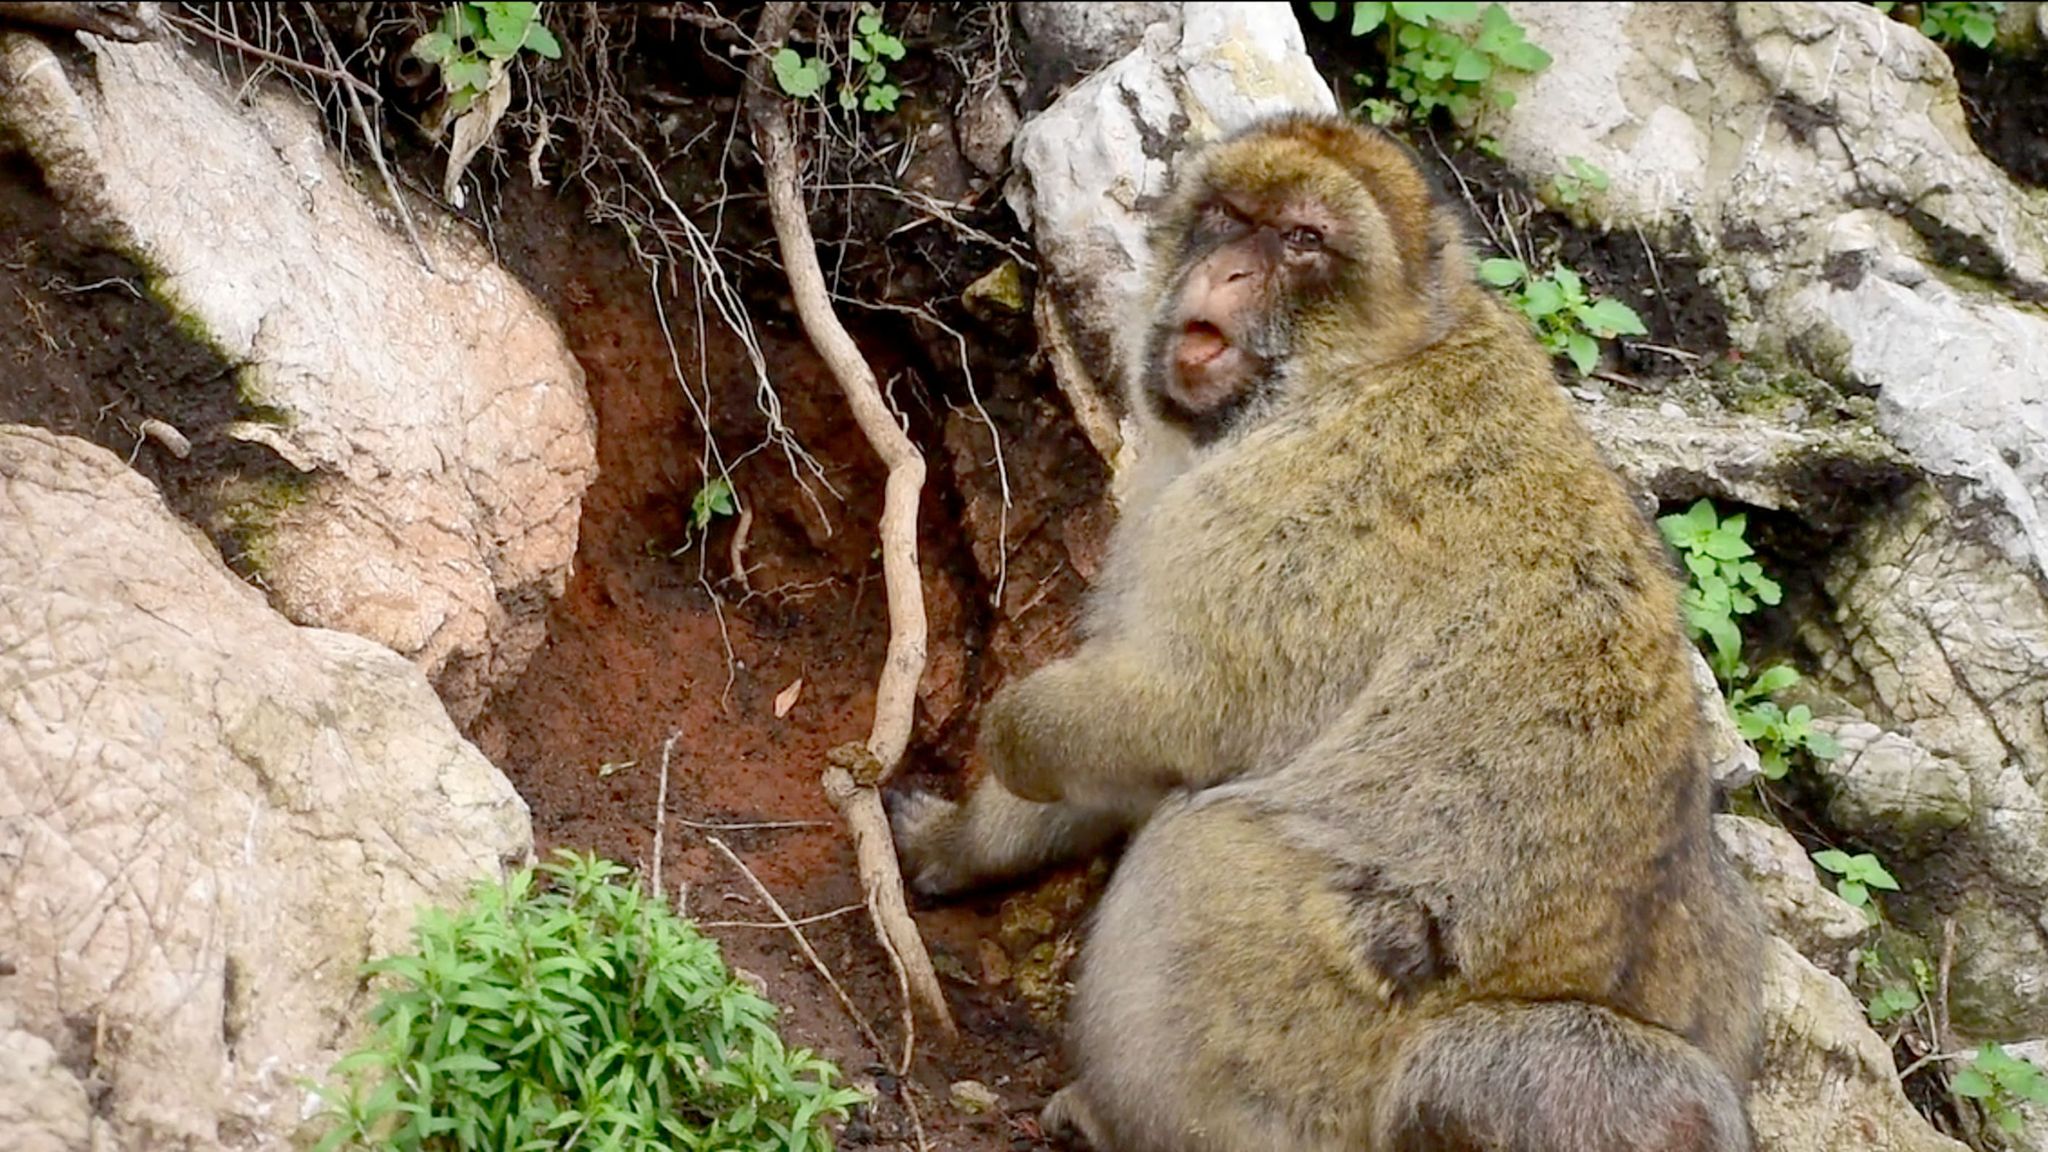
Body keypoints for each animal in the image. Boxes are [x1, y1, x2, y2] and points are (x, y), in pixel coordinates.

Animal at [890, 112, 1765, 1152]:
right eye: (1229, 216)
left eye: (1301, 239)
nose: (1225, 271)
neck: (1371, 365)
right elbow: (1131, 765)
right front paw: (961, 844)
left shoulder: (1289, 513)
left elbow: (1177, 718)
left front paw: (1013, 737)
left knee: (1205, 848)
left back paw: (1115, 1118)